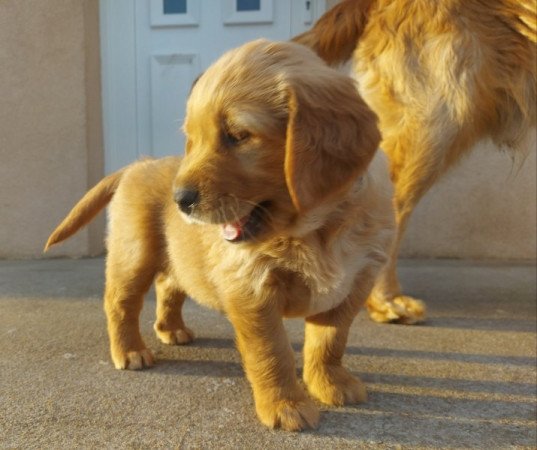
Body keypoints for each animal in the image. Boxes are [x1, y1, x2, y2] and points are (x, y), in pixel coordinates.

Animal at [46, 40, 396, 430]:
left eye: (238, 136)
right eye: (192, 140)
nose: (179, 200)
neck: (316, 229)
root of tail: (139, 164)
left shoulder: (356, 280)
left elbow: (331, 339)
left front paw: (330, 382)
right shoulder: (251, 287)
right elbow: (272, 351)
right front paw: (285, 405)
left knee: (169, 286)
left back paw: (171, 330)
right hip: (133, 254)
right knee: (120, 302)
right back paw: (131, 351)